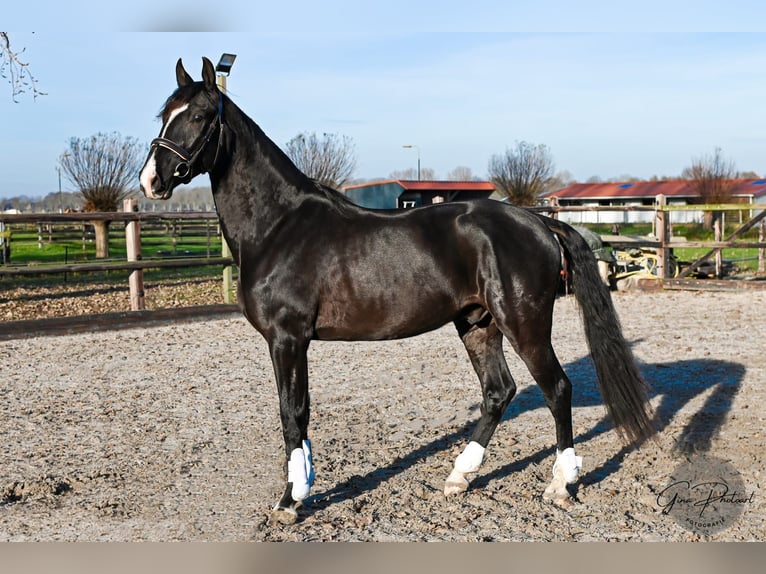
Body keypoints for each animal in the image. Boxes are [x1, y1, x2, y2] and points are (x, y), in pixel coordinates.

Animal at [141, 58, 656, 528]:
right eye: (163, 113)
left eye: (199, 115)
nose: (151, 181)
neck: (279, 226)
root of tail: (538, 221)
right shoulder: (292, 342)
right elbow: (298, 414)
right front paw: (301, 488)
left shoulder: (287, 338)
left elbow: (292, 412)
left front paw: (290, 501)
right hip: (477, 323)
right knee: (499, 391)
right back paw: (459, 477)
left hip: (523, 324)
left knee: (557, 389)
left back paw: (561, 485)